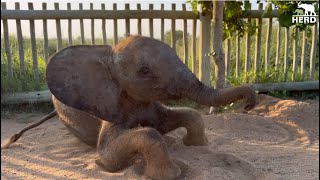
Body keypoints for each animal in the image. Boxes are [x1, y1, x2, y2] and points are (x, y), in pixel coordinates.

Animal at [1, 35, 258, 180]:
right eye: (144, 71)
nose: (249, 105)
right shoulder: (109, 105)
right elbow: (111, 153)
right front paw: (169, 175)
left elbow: (180, 117)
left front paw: (195, 145)